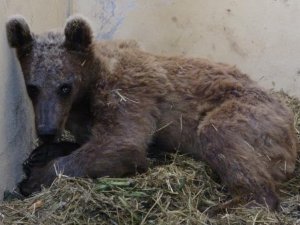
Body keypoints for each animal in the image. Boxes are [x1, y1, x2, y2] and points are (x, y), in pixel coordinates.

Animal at [5, 15, 298, 209]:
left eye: (64, 87)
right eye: (32, 88)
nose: (46, 130)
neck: (87, 92)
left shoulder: (127, 92)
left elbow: (123, 144)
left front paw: (34, 179)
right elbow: (92, 141)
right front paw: (40, 154)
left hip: (250, 113)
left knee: (222, 138)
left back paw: (228, 205)